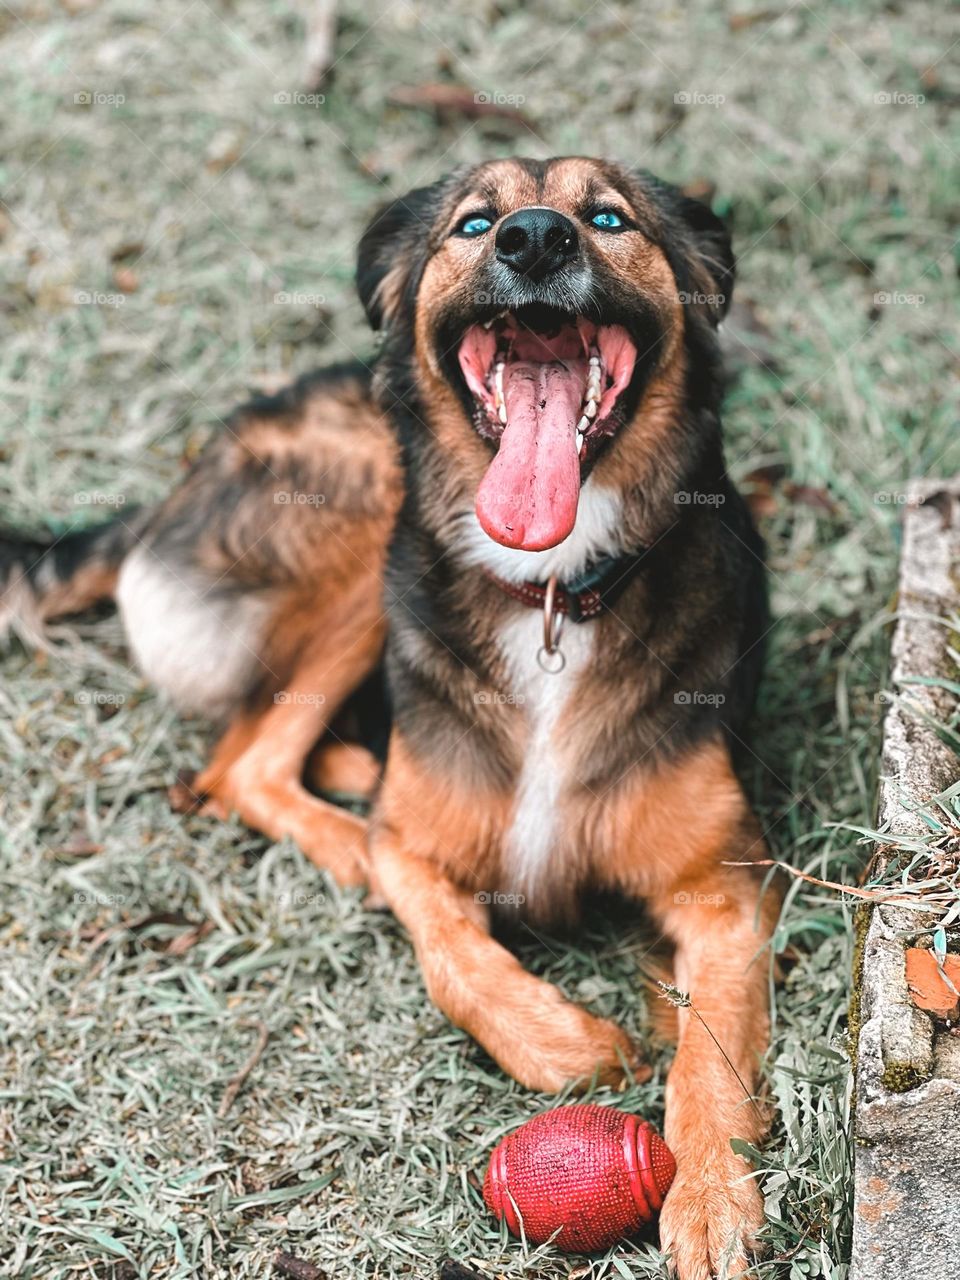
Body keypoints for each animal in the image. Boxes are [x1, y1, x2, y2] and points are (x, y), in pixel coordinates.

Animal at [0, 160, 783, 1280]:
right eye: (474, 222)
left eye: (606, 216)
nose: (533, 239)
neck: (552, 595)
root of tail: (182, 477)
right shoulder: (422, 853)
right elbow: (447, 946)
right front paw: (566, 1041)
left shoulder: (725, 888)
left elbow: (710, 1048)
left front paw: (713, 1198)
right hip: (371, 507)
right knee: (241, 765)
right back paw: (351, 819)